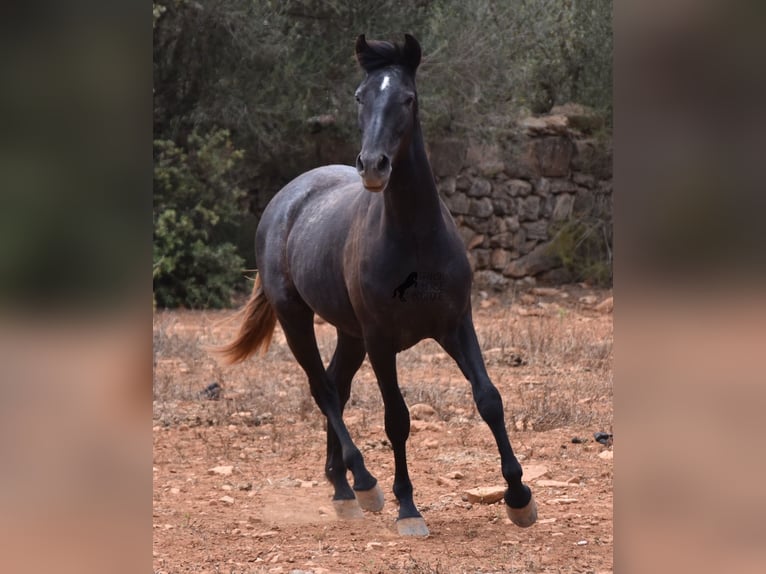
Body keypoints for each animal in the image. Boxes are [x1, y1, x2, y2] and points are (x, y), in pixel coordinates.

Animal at [219, 33, 536, 536]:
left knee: (336, 385)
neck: (415, 239)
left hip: (350, 334)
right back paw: (365, 483)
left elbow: (489, 399)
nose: (372, 166)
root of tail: (286, 199)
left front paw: (520, 497)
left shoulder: (455, 325)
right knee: (324, 391)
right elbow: (397, 419)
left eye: (407, 98)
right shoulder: (382, 340)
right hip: (297, 318)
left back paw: (341, 488)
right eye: (359, 97)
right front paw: (407, 506)